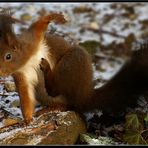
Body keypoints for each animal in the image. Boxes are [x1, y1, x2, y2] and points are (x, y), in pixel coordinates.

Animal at [0, 11, 148, 123]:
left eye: (8, 56)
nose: (1, 73)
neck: (27, 61)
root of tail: (84, 96)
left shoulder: (32, 41)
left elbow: (38, 27)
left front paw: (54, 17)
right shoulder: (21, 76)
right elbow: (26, 97)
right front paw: (28, 120)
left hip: (72, 62)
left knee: (58, 90)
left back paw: (47, 69)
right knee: (64, 102)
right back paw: (50, 108)